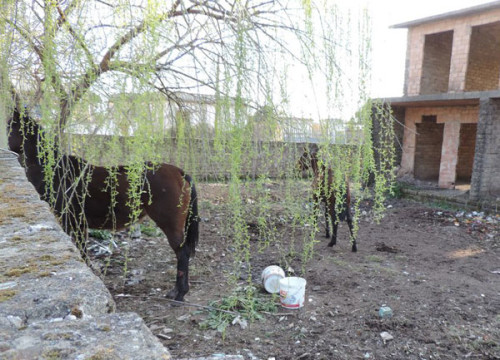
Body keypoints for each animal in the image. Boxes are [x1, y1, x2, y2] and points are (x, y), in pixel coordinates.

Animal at [7, 107, 199, 300]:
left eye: (10, 127)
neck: (56, 172)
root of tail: (179, 172)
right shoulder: (79, 225)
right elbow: (82, 251)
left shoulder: (71, 222)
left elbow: (81, 251)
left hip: (170, 225)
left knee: (182, 253)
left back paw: (179, 293)